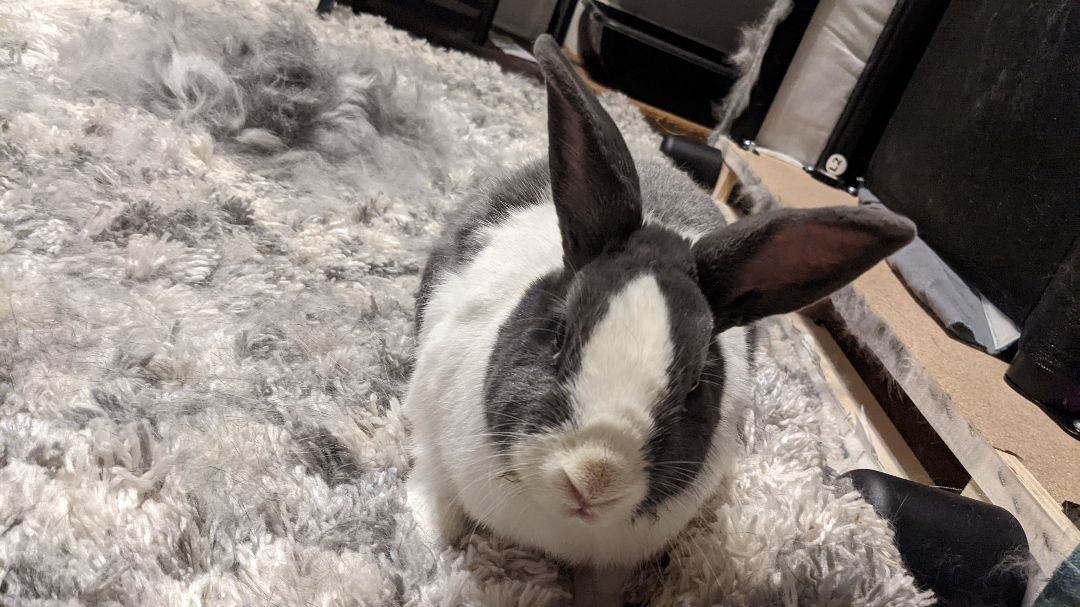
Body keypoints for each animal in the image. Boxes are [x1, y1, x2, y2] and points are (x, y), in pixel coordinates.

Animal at [404, 34, 915, 571]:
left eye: (694, 384)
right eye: (558, 336)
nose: (593, 476)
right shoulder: (432, 432)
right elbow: (433, 493)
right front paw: (428, 549)